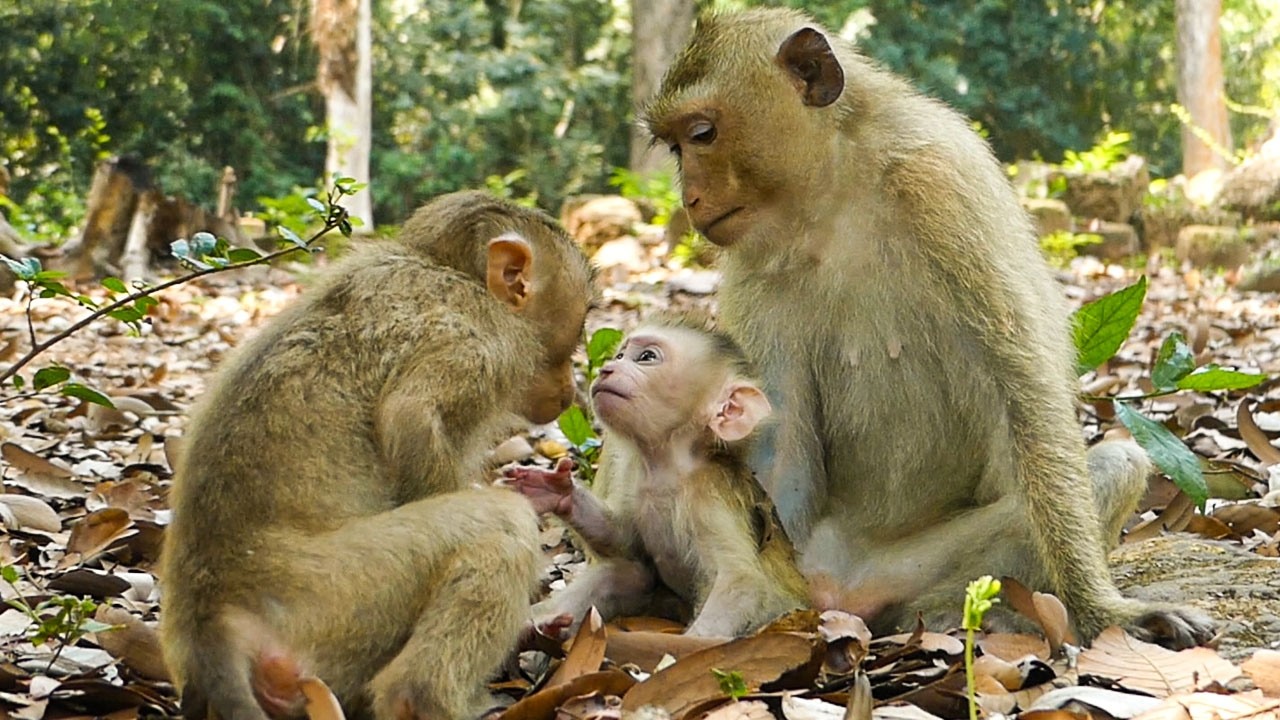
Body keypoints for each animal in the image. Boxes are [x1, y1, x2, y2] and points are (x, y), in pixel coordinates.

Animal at [159, 190, 595, 720]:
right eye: (577, 331)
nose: (571, 391)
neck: (449, 269)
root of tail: (209, 620)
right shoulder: (481, 338)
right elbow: (408, 416)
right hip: (335, 593)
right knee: (499, 523)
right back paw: (422, 696)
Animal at [505, 315, 809, 637]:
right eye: (620, 355)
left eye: (647, 357)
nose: (607, 369)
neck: (665, 468)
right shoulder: (633, 474)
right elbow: (626, 544)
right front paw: (557, 491)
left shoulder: (708, 490)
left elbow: (741, 582)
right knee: (627, 574)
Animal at [634, 9, 1215, 648]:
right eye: (674, 145)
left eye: (702, 133)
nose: (689, 199)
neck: (833, 192)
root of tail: (841, 584)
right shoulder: (752, 264)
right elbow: (776, 441)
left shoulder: (940, 184)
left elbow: (1024, 390)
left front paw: (1104, 612)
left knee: (1115, 464)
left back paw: (966, 615)